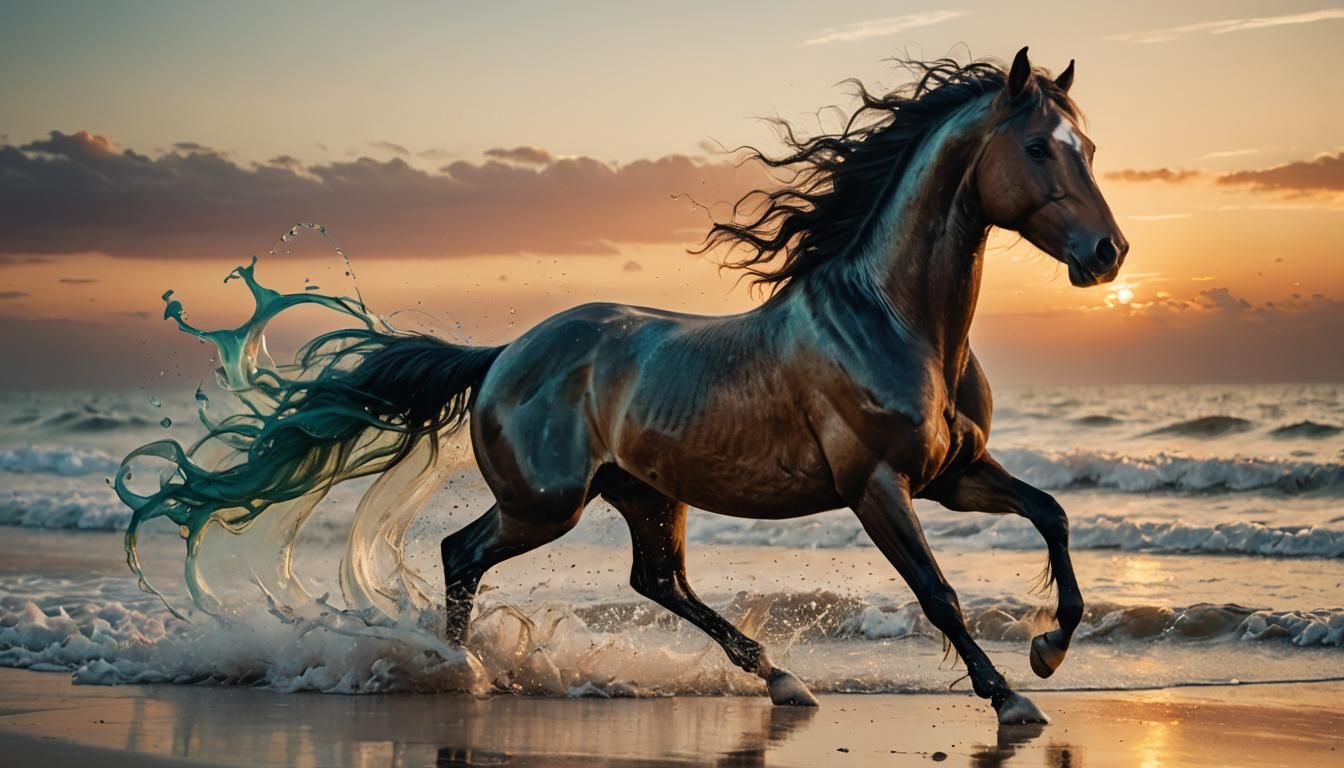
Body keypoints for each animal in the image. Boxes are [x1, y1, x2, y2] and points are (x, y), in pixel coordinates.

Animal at [117, 48, 1126, 725]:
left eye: (1090, 145)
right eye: (1041, 148)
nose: (1110, 253)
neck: (896, 322)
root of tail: (503, 355)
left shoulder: (953, 475)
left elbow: (1052, 515)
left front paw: (1048, 650)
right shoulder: (877, 486)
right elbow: (938, 592)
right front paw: (1011, 698)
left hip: (642, 493)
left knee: (657, 579)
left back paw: (781, 679)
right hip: (546, 504)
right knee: (462, 554)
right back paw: (457, 671)